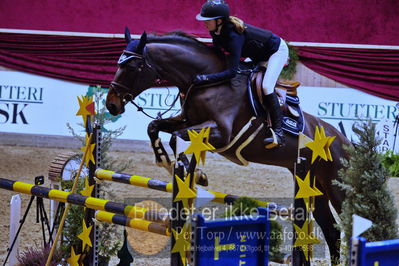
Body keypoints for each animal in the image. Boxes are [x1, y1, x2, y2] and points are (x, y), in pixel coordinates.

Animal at [107, 28, 354, 262]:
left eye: (133, 66)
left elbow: (177, 137)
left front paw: (193, 173)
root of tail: (345, 141)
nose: (111, 105)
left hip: (336, 187)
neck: (206, 81)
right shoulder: (188, 121)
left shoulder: (222, 133)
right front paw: (172, 164)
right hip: (313, 184)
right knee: (331, 231)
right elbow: (155, 127)